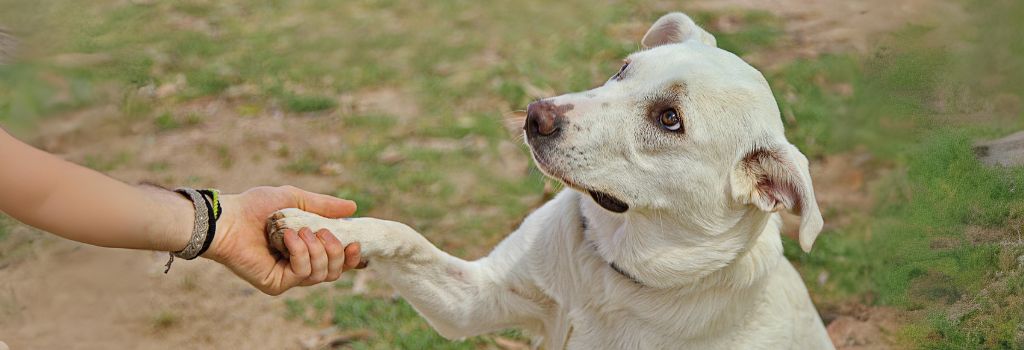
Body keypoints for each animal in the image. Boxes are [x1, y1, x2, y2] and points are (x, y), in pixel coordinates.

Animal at [270, 11, 831, 350]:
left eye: (670, 119)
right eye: (622, 70)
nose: (535, 114)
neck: (611, 273)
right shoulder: (473, 302)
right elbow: (402, 234)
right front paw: (315, 227)